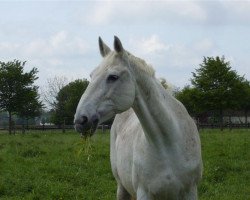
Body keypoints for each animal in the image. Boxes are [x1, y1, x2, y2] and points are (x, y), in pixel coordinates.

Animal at [74, 36, 203, 199]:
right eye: (92, 75)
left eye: (113, 77)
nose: (80, 120)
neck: (169, 144)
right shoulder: (144, 193)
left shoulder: (190, 192)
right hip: (122, 186)